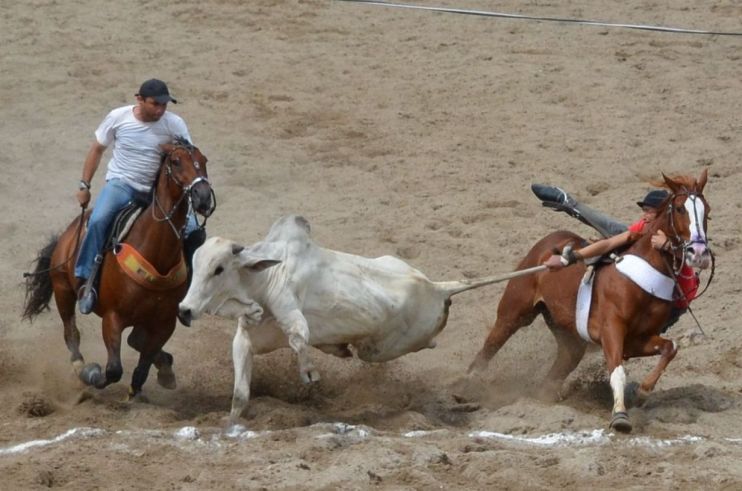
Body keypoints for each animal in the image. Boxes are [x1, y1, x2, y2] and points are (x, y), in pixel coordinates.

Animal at [23, 137, 214, 400]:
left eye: (203, 160)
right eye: (176, 161)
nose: (203, 196)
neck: (156, 255)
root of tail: (69, 232)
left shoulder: (165, 323)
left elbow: (142, 366)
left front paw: (147, 383)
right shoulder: (113, 317)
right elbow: (113, 369)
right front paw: (93, 375)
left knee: (136, 340)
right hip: (63, 288)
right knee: (71, 332)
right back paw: (81, 366)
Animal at [180, 215, 540, 422]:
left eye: (219, 268)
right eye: (195, 264)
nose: (184, 310)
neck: (267, 276)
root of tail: (436, 287)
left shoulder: (289, 311)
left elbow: (299, 336)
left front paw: (309, 372)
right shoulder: (245, 340)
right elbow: (240, 395)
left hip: (379, 350)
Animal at [470, 171, 716, 432]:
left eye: (707, 210)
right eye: (680, 209)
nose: (699, 253)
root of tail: (550, 239)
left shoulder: (635, 340)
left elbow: (671, 348)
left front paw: (643, 391)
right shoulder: (611, 330)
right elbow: (617, 373)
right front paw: (620, 416)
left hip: (568, 334)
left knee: (561, 364)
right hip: (515, 311)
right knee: (492, 344)